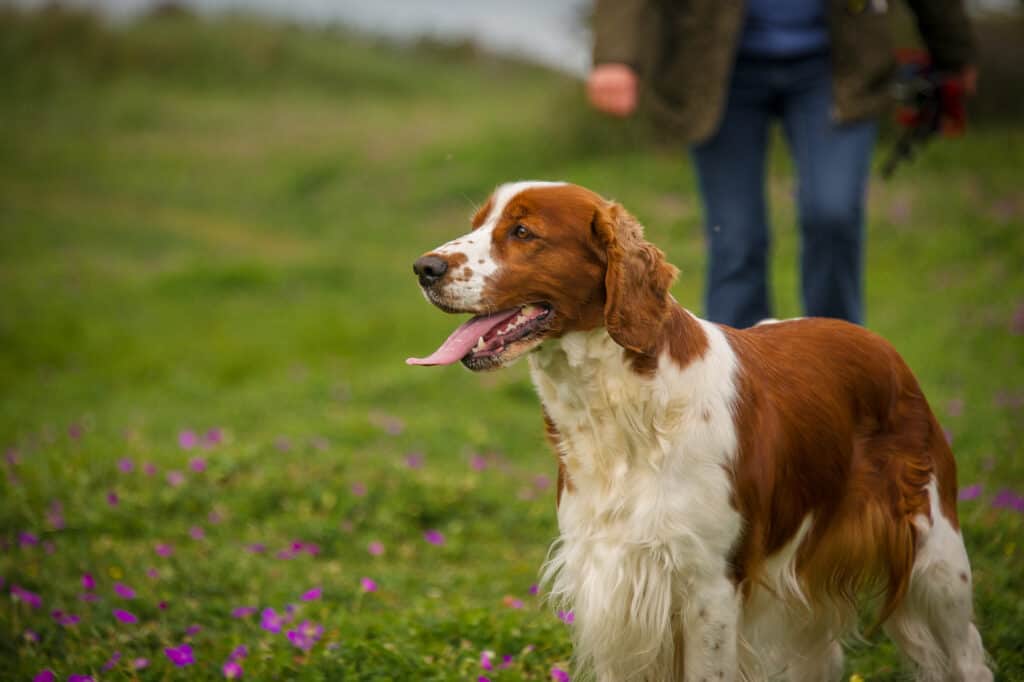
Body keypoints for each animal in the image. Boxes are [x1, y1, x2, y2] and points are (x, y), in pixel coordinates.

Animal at [407, 182, 991, 679]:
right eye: (479, 225)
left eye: (523, 232)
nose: (423, 267)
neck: (622, 413)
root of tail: (884, 349)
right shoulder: (611, 585)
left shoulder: (710, 587)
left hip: (936, 559)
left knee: (968, 658)